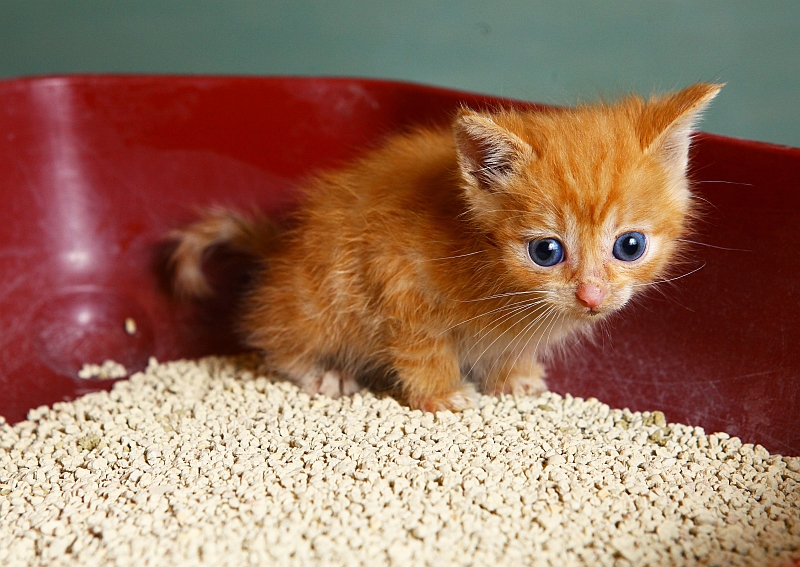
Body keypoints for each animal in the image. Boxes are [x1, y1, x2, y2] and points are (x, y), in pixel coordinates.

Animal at [172, 83, 720, 412]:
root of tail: (280, 248)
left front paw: (515, 378)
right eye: (546, 252)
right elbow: (421, 346)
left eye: (630, 245)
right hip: (315, 300)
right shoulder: (396, 272)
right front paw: (443, 395)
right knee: (274, 335)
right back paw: (323, 373)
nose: (591, 296)